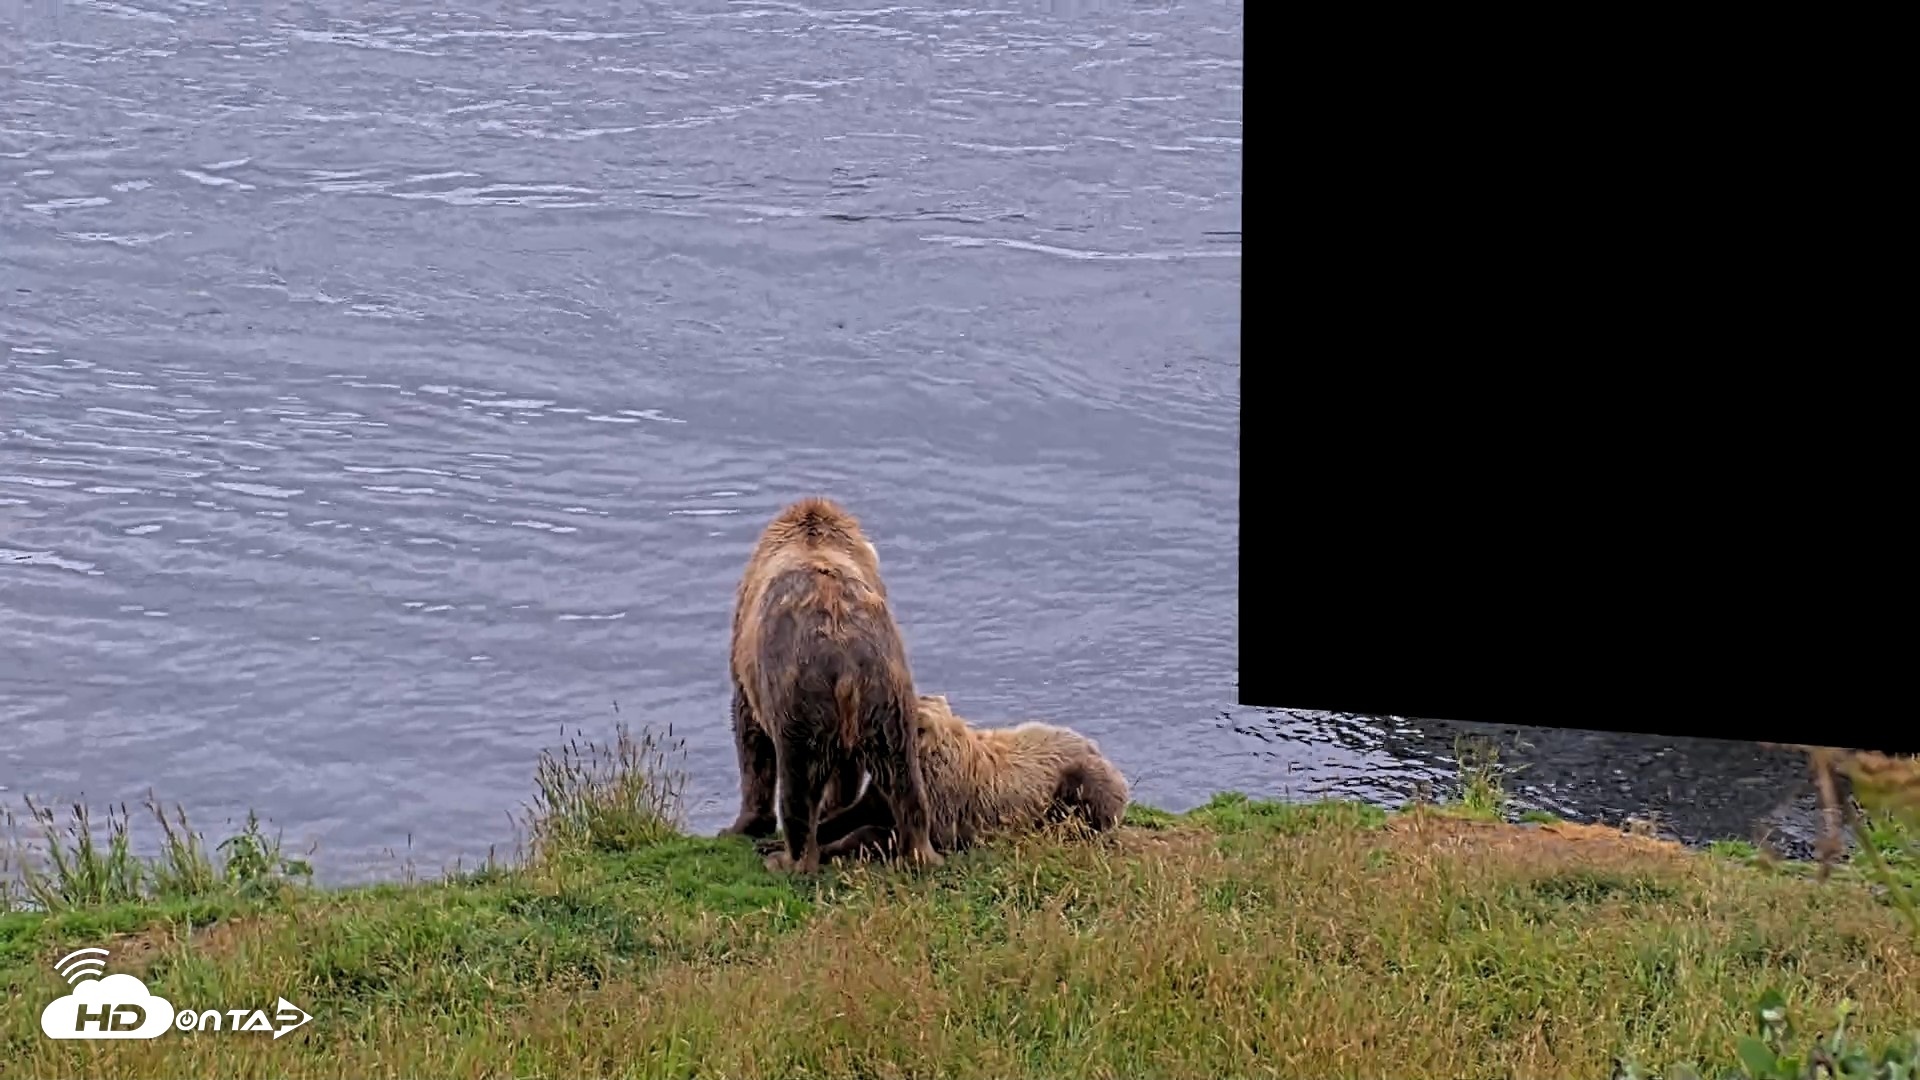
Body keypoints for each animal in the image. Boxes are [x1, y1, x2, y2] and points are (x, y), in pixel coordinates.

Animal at [717, 496, 942, 873]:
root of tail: (846, 663)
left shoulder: (749, 668)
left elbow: (751, 739)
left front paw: (744, 824)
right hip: (887, 699)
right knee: (903, 778)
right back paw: (918, 851)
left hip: (800, 699)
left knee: (797, 784)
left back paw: (788, 859)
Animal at [779, 693, 1131, 863]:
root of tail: (1096, 746)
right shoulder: (885, 789)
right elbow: (856, 812)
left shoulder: (940, 798)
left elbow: (896, 833)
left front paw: (837, 847)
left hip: (1075, 775)